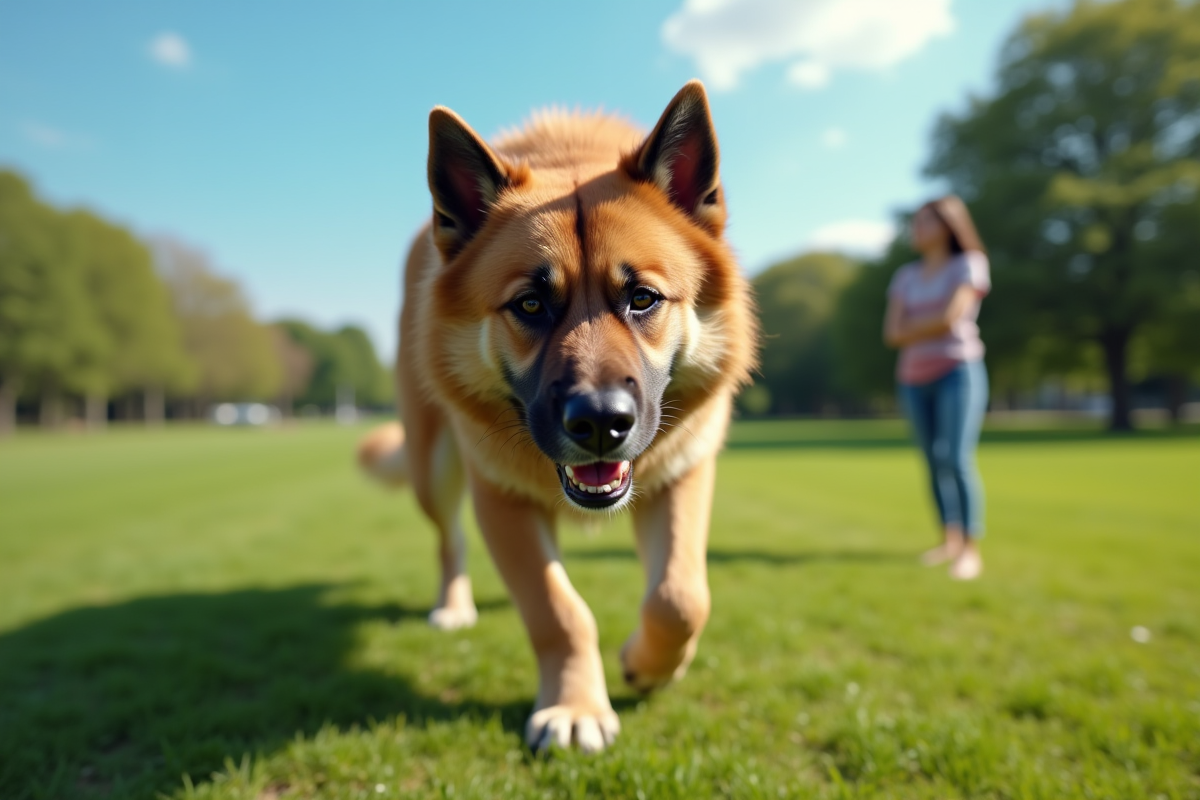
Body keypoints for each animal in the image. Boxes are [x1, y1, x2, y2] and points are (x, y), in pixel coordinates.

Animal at [355, 81, 753, 753]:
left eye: (642, 298)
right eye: (531, 304)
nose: (599, 423)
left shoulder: (681, 475)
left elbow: (679, 597)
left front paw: (648, 666)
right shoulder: (501, 499)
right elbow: (557, 611)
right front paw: (574, 707)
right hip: (432, 465)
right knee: (448, 539)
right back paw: (454, 605)